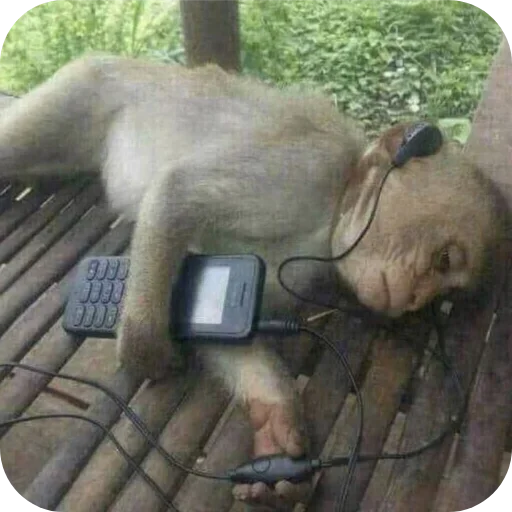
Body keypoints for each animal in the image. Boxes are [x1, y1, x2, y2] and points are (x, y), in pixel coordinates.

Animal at [0, 54, 504, 509]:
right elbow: (179, 191)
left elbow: (222, 316)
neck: (335, 206)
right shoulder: (305, 170)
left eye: (444, 292)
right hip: (86, 89)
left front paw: (275, 429)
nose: (417, 297)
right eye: (443, 259)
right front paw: (145, 344)